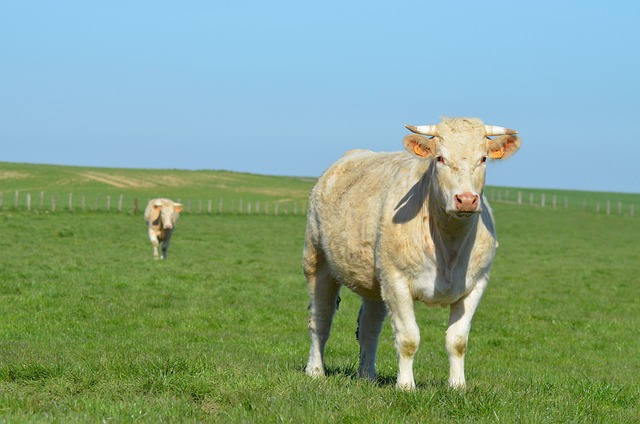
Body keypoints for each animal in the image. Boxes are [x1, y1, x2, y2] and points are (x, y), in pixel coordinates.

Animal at [304, 117, 520, 390]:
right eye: (440, 158)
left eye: (483, 158)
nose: (466, 199)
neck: (448, 246)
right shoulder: (396, 281)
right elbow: (408, 338)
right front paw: (406, 386)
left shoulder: (476, 284)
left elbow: (457, 341)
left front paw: (458, 386)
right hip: (317, 260)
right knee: (320, 319)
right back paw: (315, 370)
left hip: (375, 282)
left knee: (369, 327)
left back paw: (367, 374)